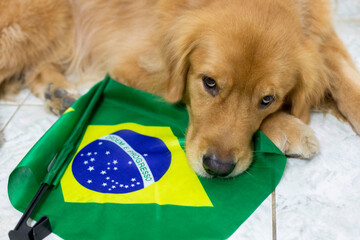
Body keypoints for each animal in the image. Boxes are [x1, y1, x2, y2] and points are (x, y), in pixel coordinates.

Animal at [0, 0, 360, 176]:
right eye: (209, 83)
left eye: (267, 99)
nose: (218, 168)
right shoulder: (132, 65)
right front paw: (290, 128)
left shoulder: (322, 34)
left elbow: (346, 77)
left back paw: (58, 93)